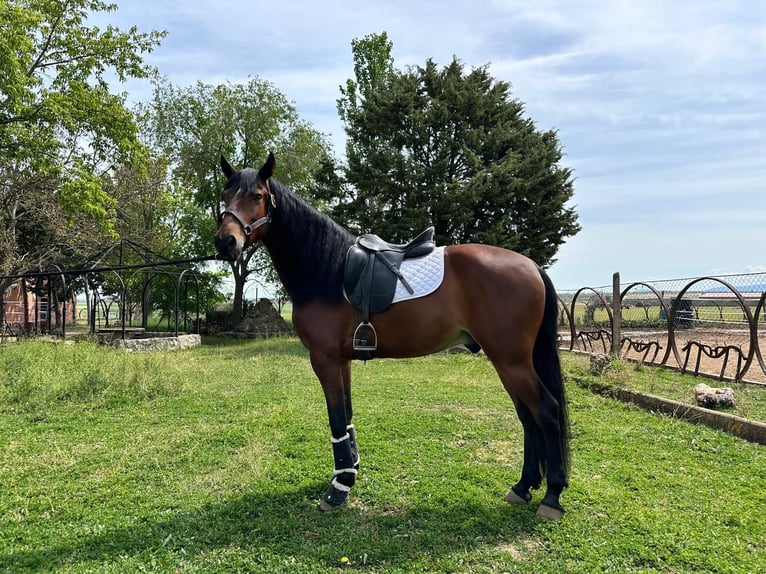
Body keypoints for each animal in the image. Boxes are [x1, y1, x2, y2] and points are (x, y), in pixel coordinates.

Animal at [214, 153, 570, 519]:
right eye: (224, 195)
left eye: (257, 195)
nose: (225, 242)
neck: (328, 270)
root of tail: (531, 266)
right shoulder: (341, 361)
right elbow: (347, 416)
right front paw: (349, 473)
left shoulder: (324, 359)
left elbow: (336, 420)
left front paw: (338, 489)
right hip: (509, 362)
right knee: (528, 417)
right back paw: (523, 486)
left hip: (511, 360)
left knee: (546, 411)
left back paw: (551, 496)